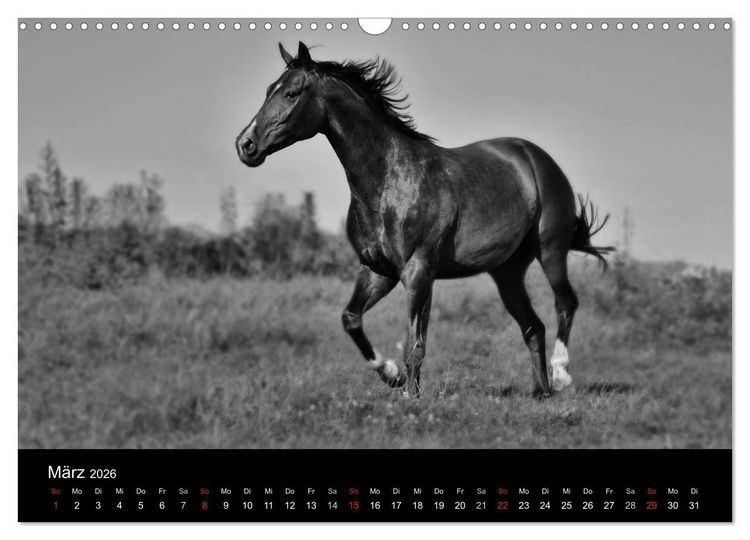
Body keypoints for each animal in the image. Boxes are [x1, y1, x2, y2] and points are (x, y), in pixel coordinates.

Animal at [236, 42, 612, 398]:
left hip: (551, 250)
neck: (389, 181)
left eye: (291, 92)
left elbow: (414, 344)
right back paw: (541, 392)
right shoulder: (378, 271)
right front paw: (391, 375)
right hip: (506, 272)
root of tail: (537, 158)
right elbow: (351, 319)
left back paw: (561, 374)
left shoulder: (418, 271)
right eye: (269, 89)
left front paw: (410, 397)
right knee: (534, 326)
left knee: (565, 302)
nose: (246, 145)